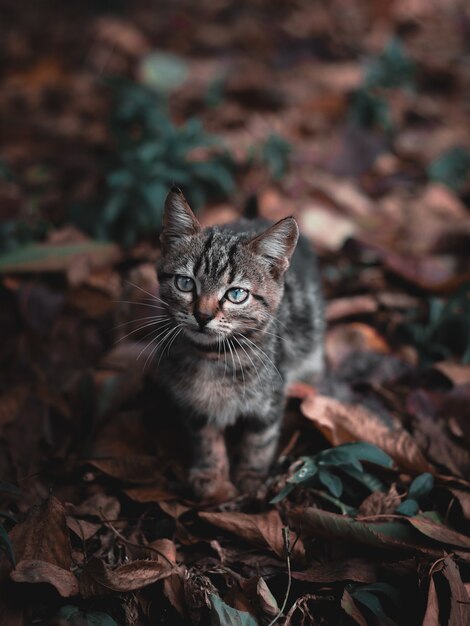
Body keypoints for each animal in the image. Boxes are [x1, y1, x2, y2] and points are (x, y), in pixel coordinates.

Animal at [156, 185, 324, 498]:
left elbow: (260, 438)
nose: (202, 315)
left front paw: (251, 476)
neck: (214, 357)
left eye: (236, 294)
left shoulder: (271, 396)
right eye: (185, 283)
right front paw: (211, 474)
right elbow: (205, 436)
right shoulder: (193, 404)